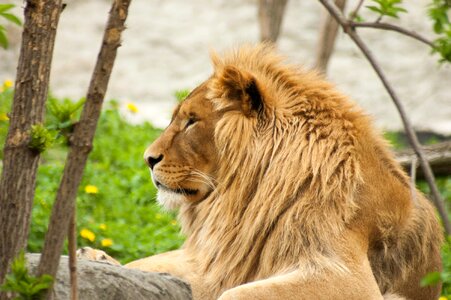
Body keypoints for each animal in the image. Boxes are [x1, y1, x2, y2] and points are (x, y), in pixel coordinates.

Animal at [78, 45, 444, 300]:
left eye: (192, 121)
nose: (148, 158)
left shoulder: (349, 277)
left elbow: (235, 293)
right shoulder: (223, 262)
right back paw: (93, 256)